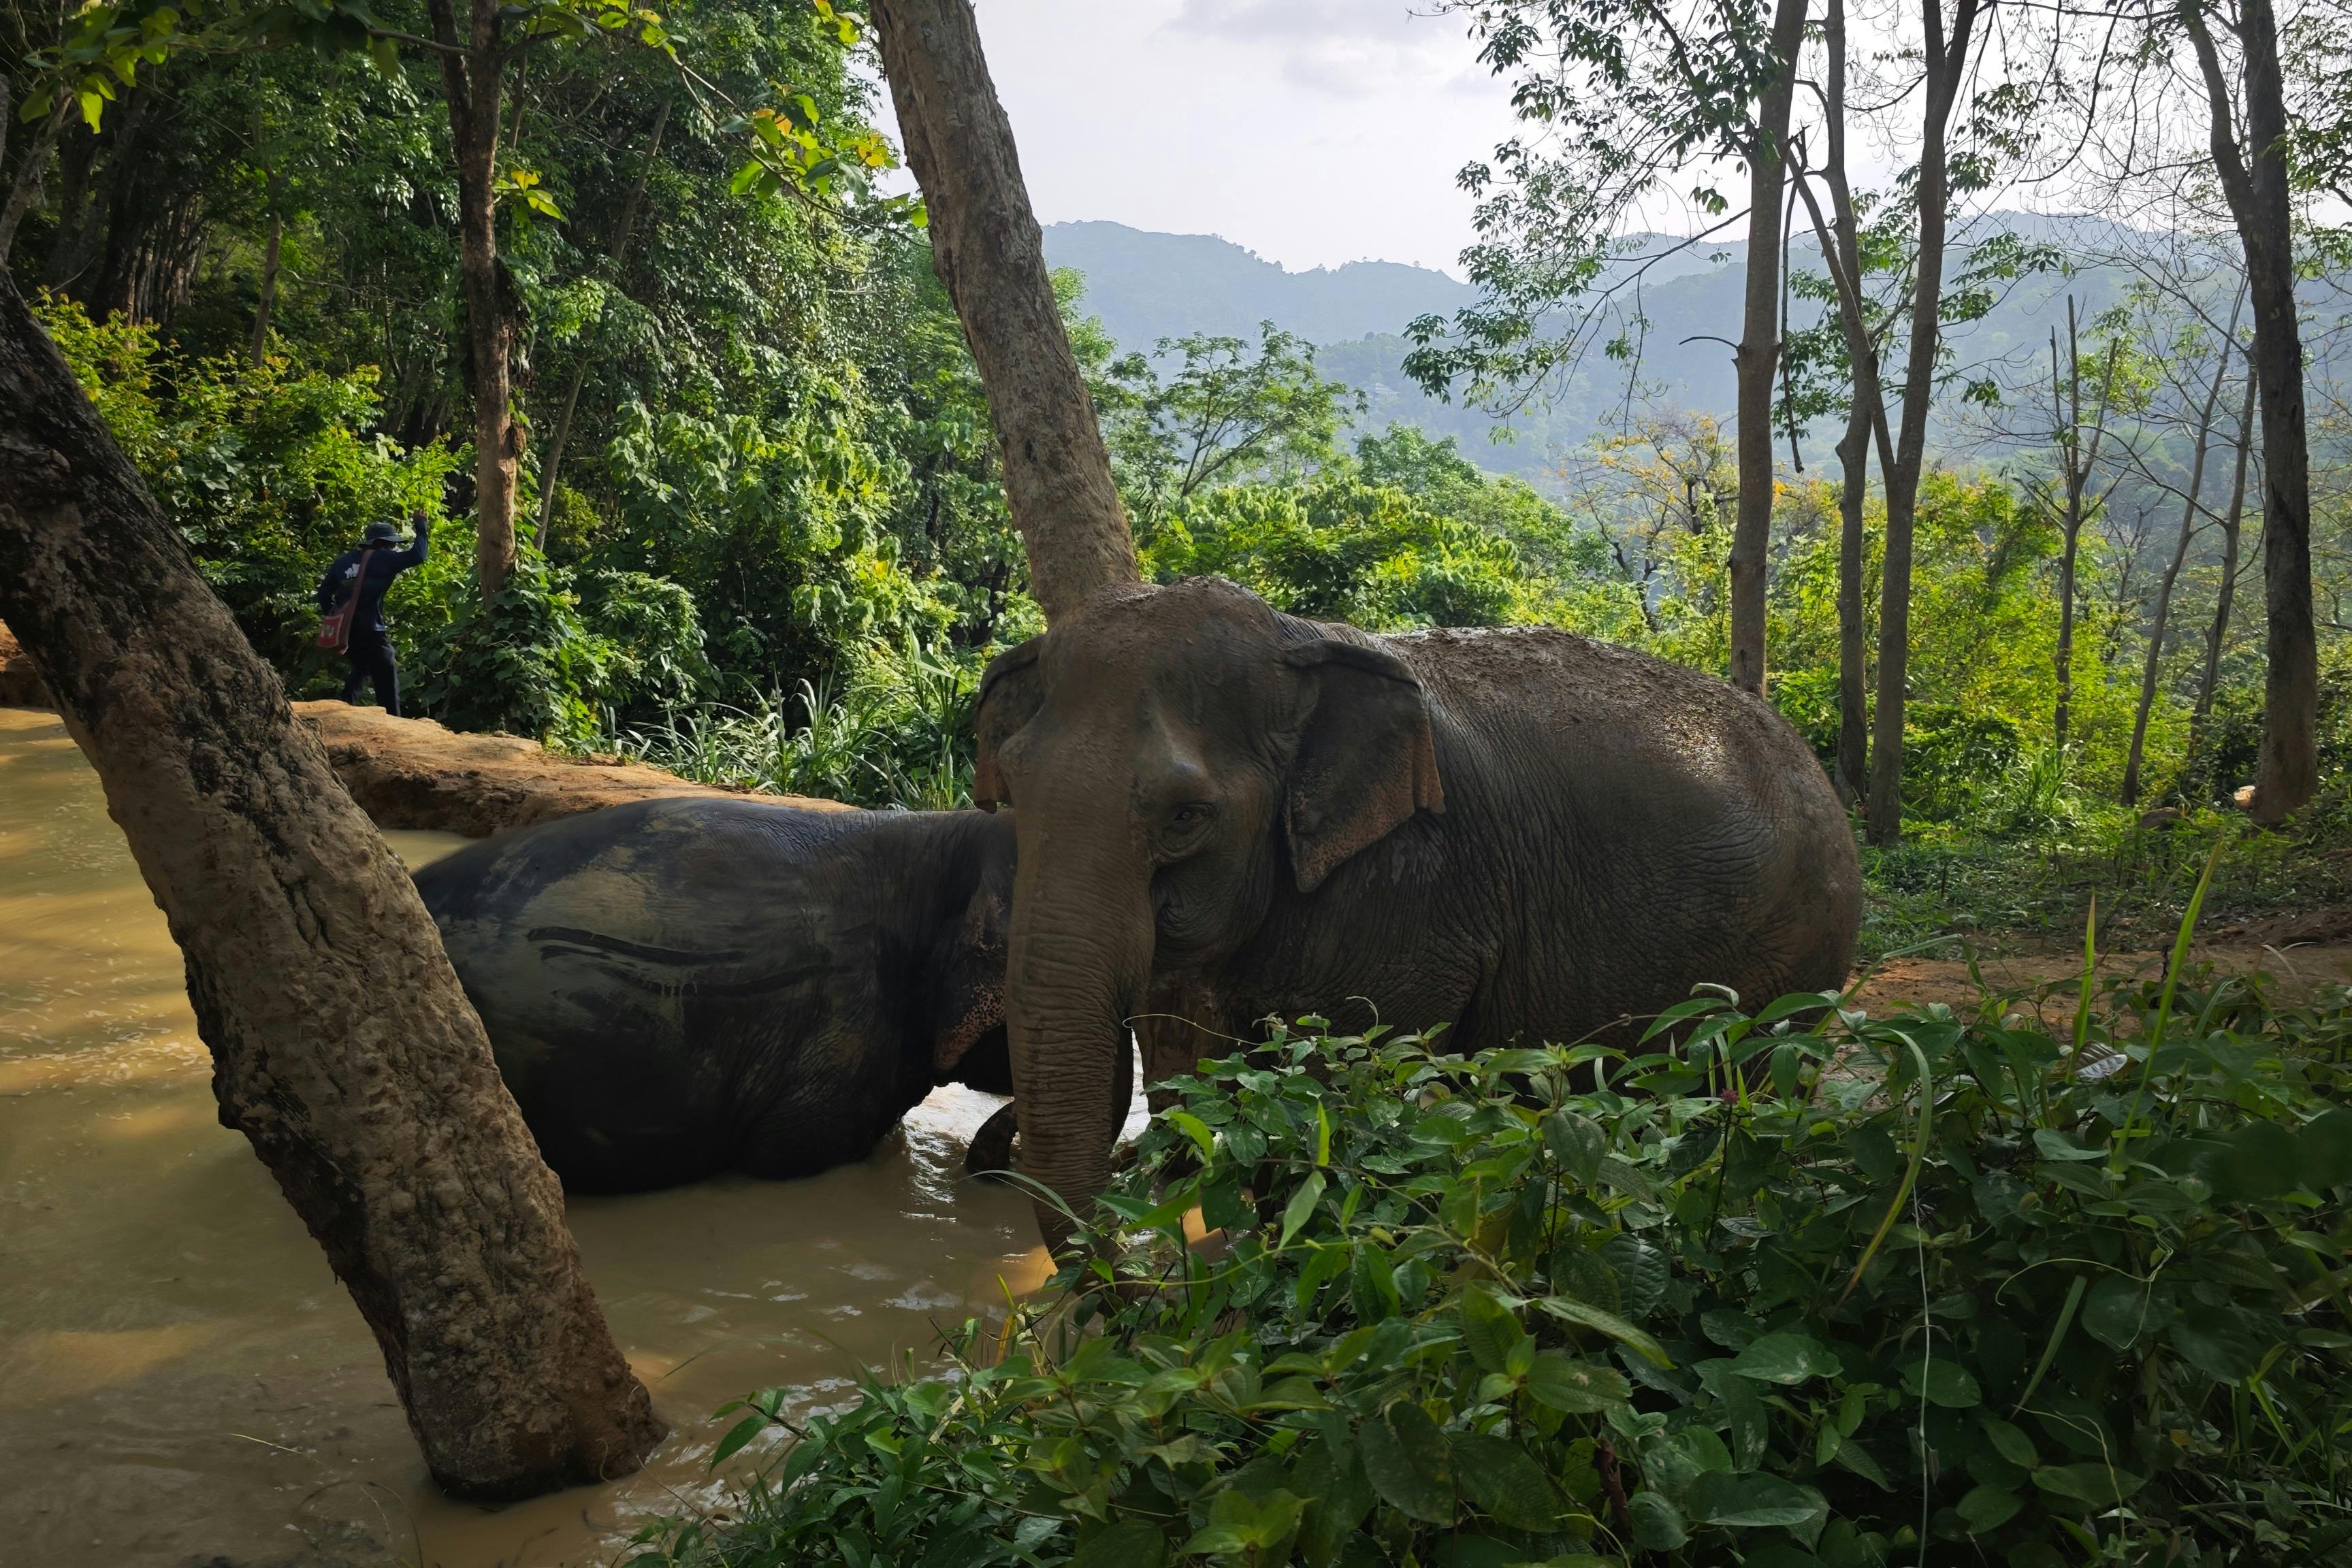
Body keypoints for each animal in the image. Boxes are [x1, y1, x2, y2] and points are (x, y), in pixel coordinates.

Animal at [972, 576, 1862, 1244]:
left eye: (1186, 816)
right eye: (1011, 786)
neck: (1295, 638)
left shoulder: (1408, 889)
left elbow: (1331, 1098)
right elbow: (1226, 1083)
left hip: (1790, 968)